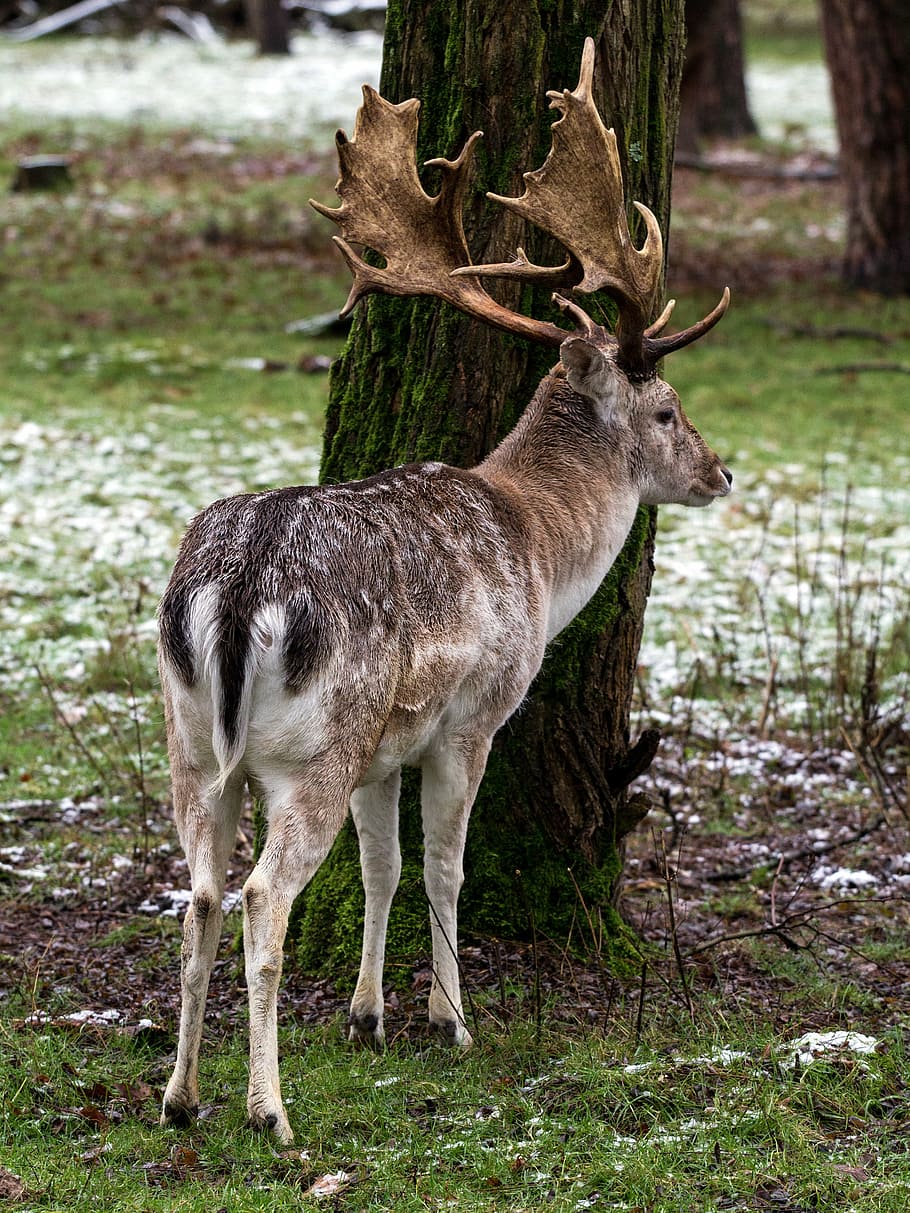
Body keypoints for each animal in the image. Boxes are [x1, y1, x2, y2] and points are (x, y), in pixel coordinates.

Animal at [157, 38, 732, 1145]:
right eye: (668, 409)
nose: (722, 472)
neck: (537, 546)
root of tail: (238, 592)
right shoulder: (472, 714)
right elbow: (443, 864)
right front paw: (450, 1020)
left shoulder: (388, 746)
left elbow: (382, 866)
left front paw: (368, 1013)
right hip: (312, 748)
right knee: (260, 896)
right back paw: (268, 1111)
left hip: (191, 741)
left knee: (199, 892)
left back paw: (180, 1095)